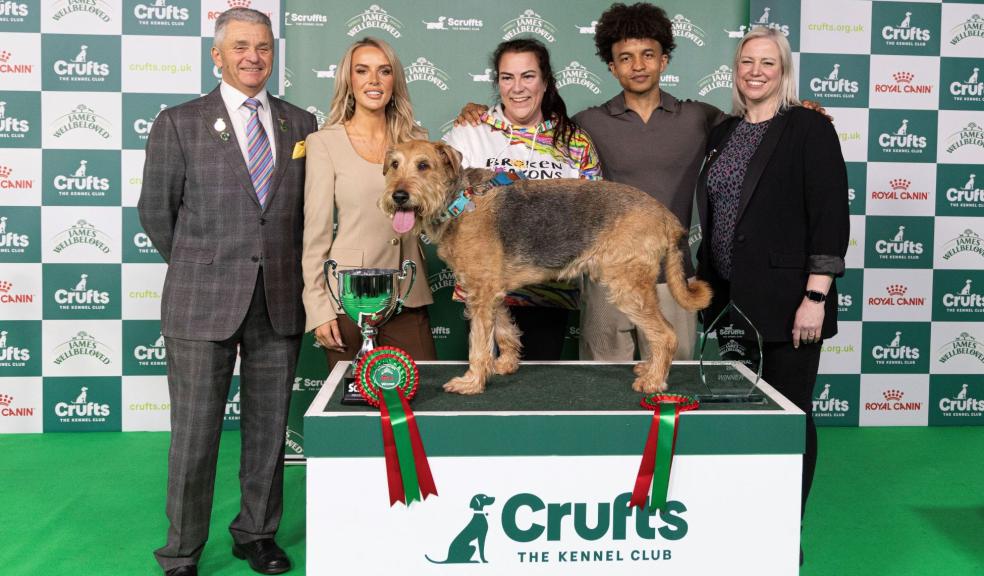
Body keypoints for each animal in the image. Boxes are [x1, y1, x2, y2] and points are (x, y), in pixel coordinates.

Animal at [380, 140, 712, 394]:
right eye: (394, 164)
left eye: (424, 165)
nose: (398, 196)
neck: (460, 201)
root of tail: (666, 216)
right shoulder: (491, 292)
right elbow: (504, 330)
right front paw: (505, 365)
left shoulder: (481, 293)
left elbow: (478, 345)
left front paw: (472, 382)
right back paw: (650, 369)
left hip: (627, 286)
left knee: (666, 334)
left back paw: (654, 382)